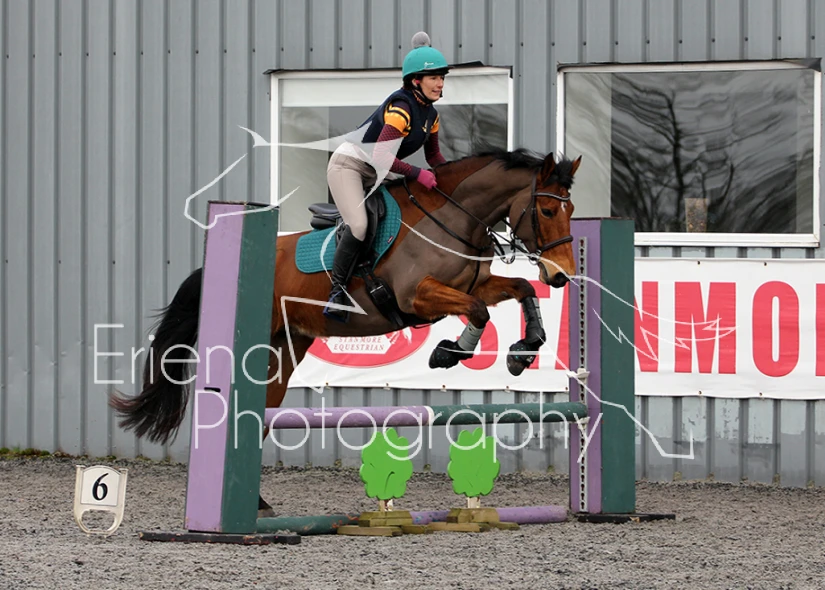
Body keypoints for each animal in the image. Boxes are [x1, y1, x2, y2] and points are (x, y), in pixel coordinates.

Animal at [109, 147, 581, 516]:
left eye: (571, 211)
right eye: (545, 210)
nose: (561, 277)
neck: (452, 218)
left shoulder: (472, 286)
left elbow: (520, 289)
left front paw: (524, 350)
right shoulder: (417, 296)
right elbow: (479, 312)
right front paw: (448, 352)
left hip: (283, 352)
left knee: (259, 417)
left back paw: (256, 504)